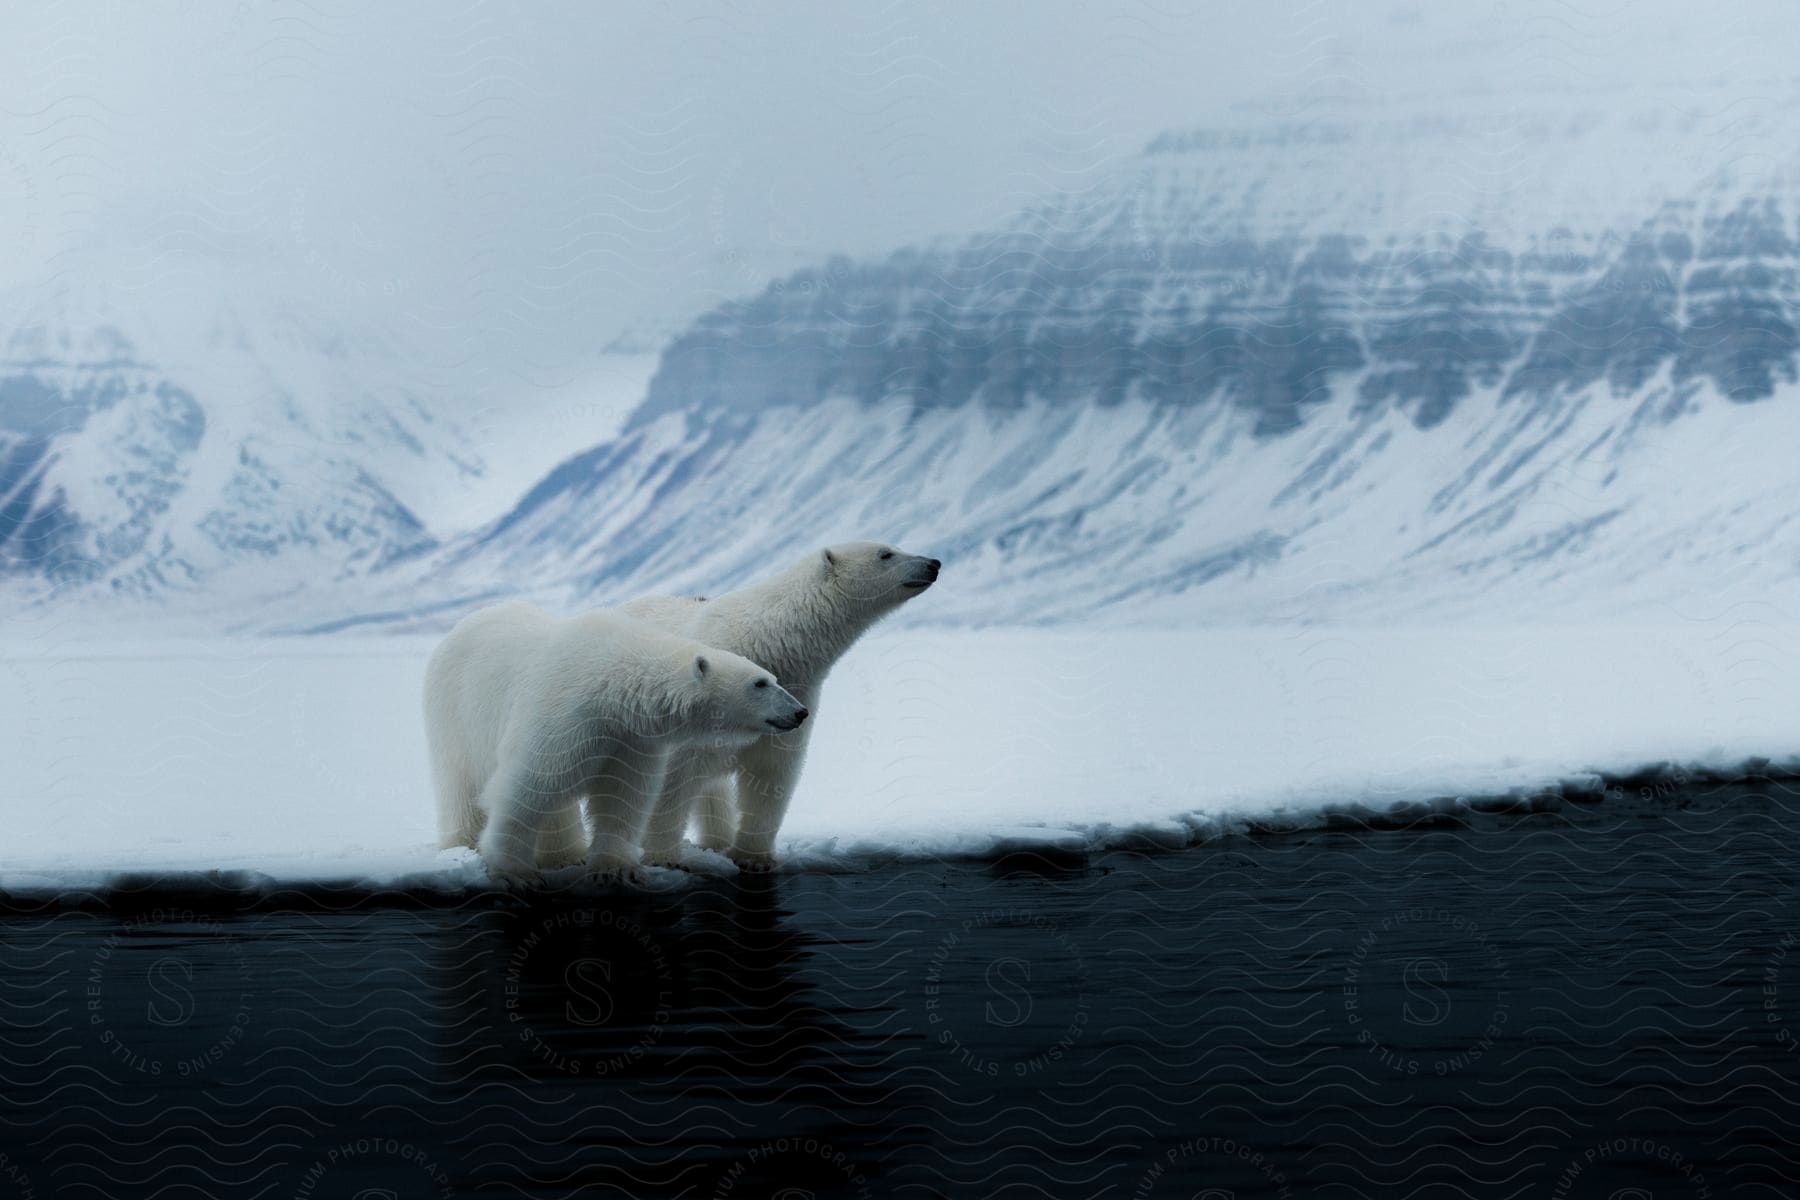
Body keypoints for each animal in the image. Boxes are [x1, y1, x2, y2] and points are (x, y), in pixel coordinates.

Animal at [424, 604, 806, 888]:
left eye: (773, 678)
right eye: (760, 683)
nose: (799, 711)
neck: (613, 686)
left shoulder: (631, 738)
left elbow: (623, 796)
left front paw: (616, 869)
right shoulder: (564, 712)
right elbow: (528, 786)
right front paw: (515, 873)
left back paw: (567, 854)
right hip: (453, 710)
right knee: (459, 781)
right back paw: (461, 844)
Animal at [579, 543, 950, 874]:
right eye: (886, 553)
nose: (933, 563)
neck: (769, 640)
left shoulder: (794, 700)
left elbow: (773, 772)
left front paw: (753, 857)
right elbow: (672, 778)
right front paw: (663, 856)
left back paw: (716, 840)